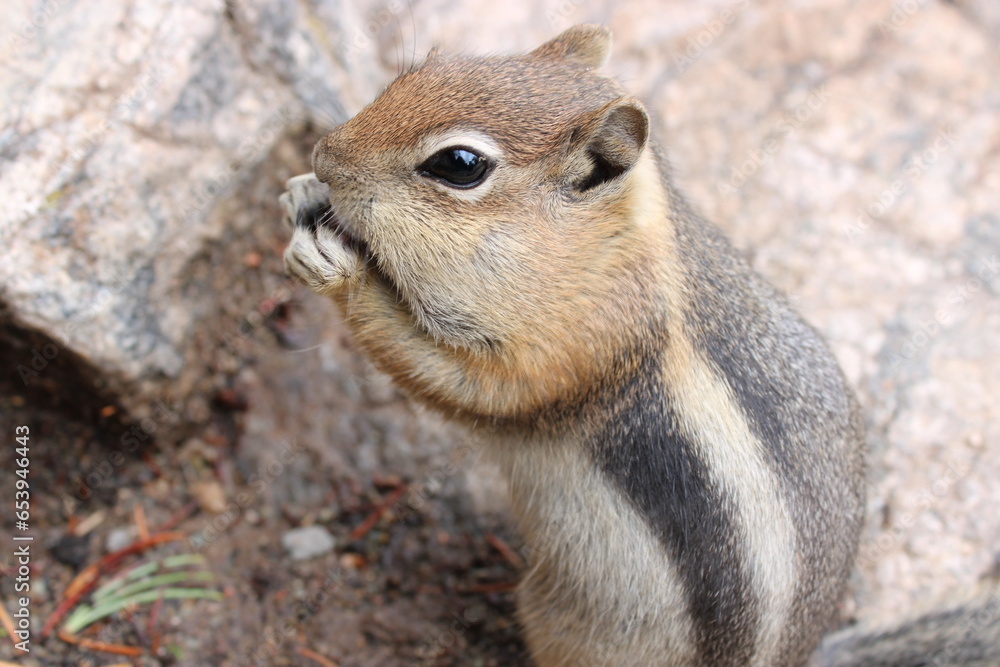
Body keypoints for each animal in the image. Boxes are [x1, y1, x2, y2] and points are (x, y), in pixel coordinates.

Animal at [279, 24, 1000, 666]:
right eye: (419, 69)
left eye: (459, 165)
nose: (324, 156)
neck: (606, 251)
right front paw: (301, 192)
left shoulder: (575, 348)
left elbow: (460, 383)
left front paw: (339, 270)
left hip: (565, 616)